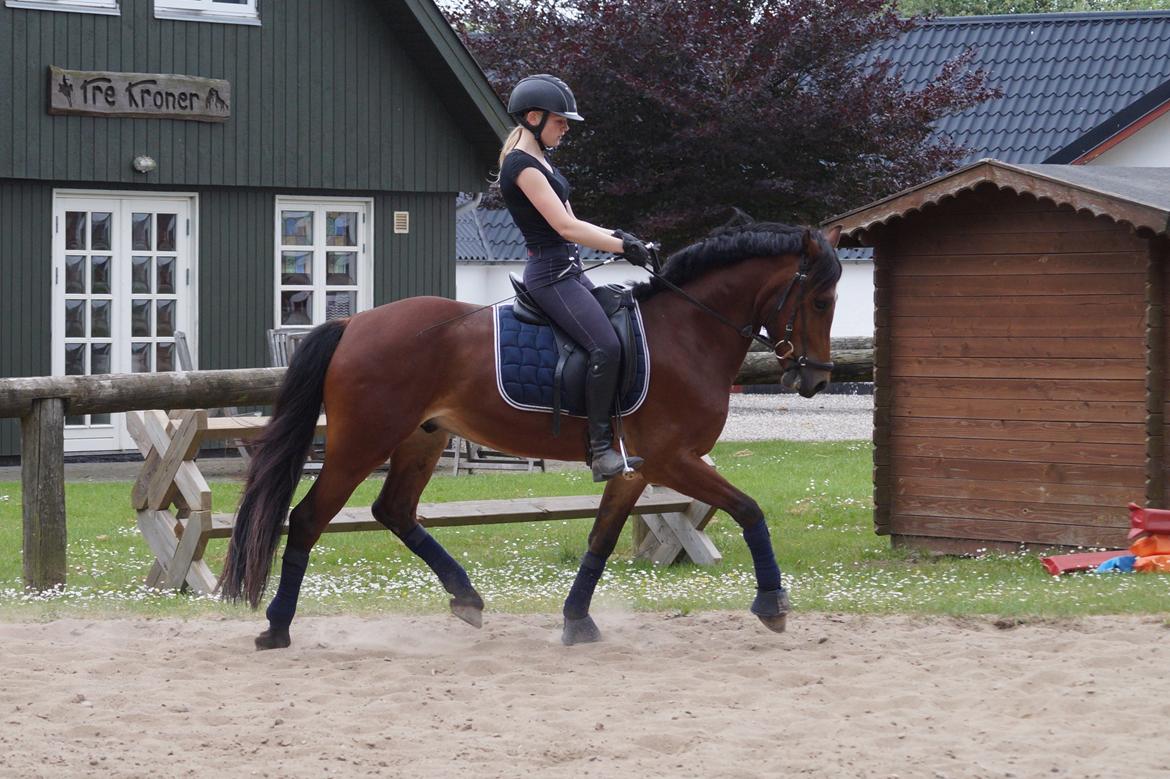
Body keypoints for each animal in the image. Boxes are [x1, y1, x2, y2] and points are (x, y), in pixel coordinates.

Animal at [219, 215, 842, 645]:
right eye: (820, 300)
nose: (814, 379)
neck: (687, 333)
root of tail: (353, 323)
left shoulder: (636, 468)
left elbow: (602, 538)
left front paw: (576, 621)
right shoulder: (673, 459)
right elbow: (749, 509)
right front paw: (772, 603)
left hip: (423, 438)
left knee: (393, 510)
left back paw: (466, 597)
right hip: (361, 443)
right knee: (306, 519)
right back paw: (277, 628)